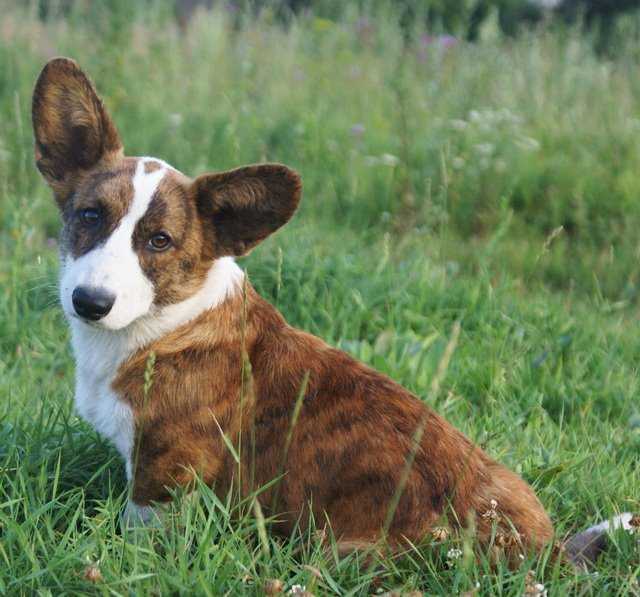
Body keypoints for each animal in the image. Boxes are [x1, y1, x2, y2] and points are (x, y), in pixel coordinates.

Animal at [33, 58, 636, 564]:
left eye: (159, 241)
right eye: (89, 215)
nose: (90, 302)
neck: (165, 322)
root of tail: (547, 558)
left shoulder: (161, 477)